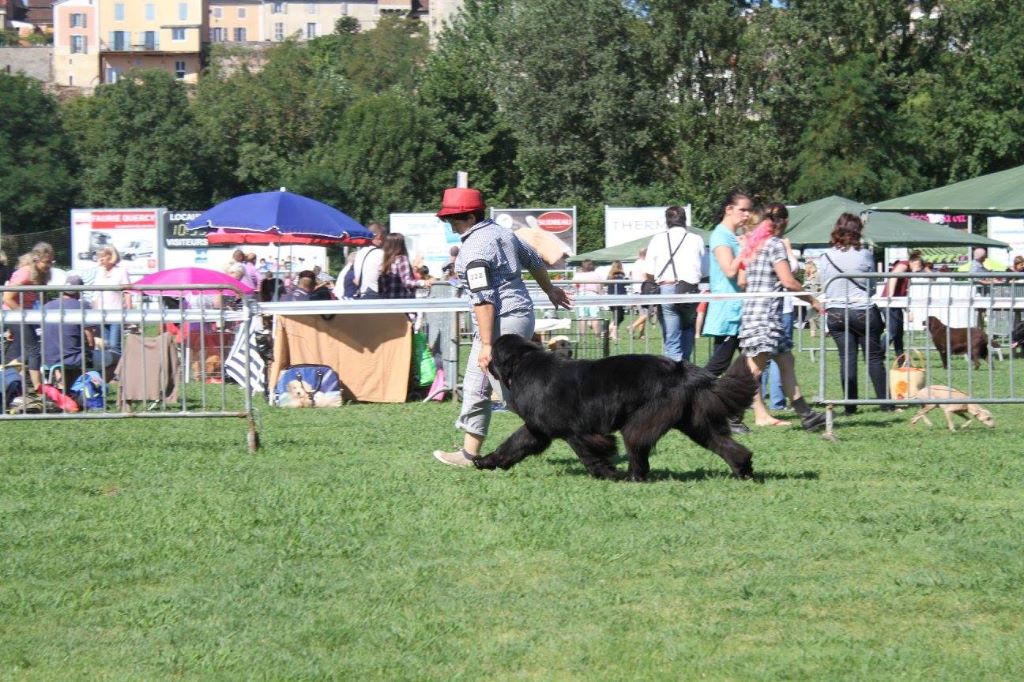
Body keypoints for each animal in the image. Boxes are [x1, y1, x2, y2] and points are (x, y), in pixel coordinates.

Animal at [473, 334, 758, 481]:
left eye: (492, 353)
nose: (482, 362)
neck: (524, 362)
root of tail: (682, 369)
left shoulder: (573, 431)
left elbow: (589, 453)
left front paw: (607, 472)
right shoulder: (537, 429)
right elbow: (512, 445)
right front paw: (485, 461)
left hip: (643, 422)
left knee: (637, 448)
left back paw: (632, 477)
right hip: (696, 423)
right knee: (725, 445)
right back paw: (744, 470)